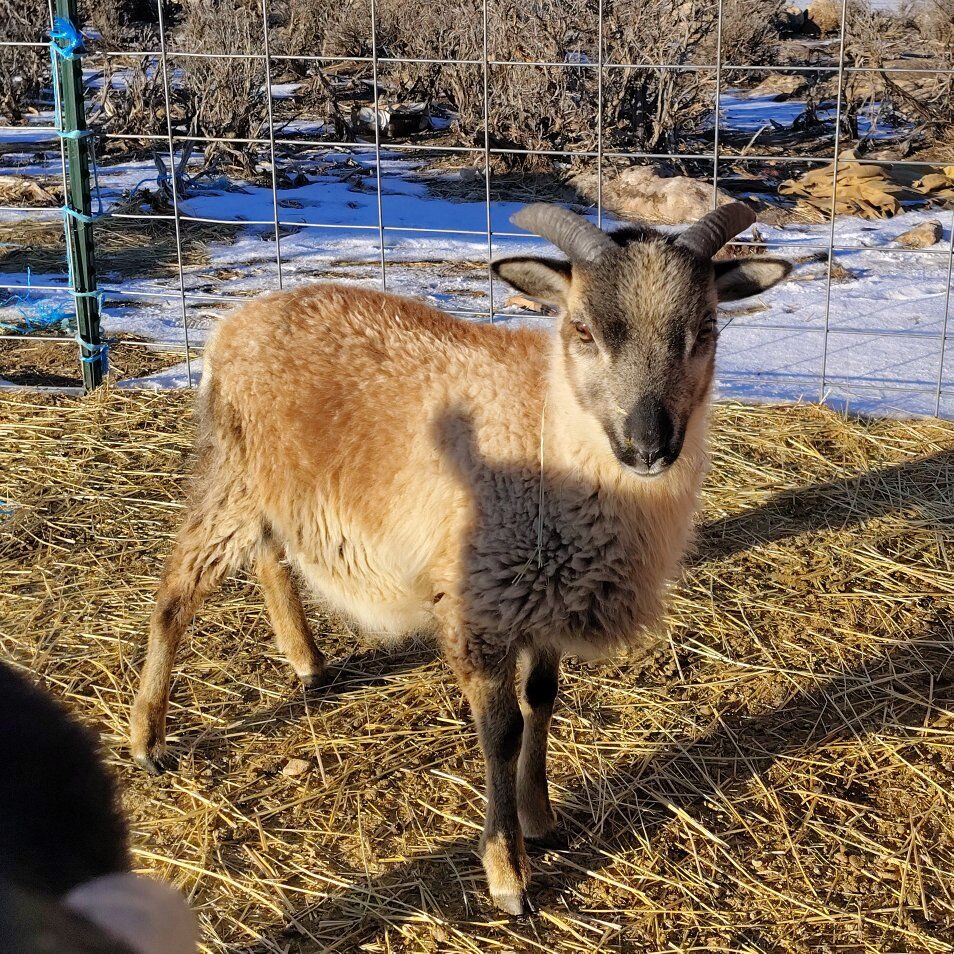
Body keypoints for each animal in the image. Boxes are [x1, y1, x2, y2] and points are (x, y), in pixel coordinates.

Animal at [130, 201, 791, 914]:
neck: (542, 427)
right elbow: (500, 731)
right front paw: (508, 872)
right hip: (234, 471)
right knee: (176, 587)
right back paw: (147, 738)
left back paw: (307, 662)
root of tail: (238, 319)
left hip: (281, 489)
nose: (649, 446)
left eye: (704, 331)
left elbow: (542, 702)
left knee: (271, 557)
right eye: (582, 330)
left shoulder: (541, 600)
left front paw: (540, 817)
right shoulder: (483, 603)